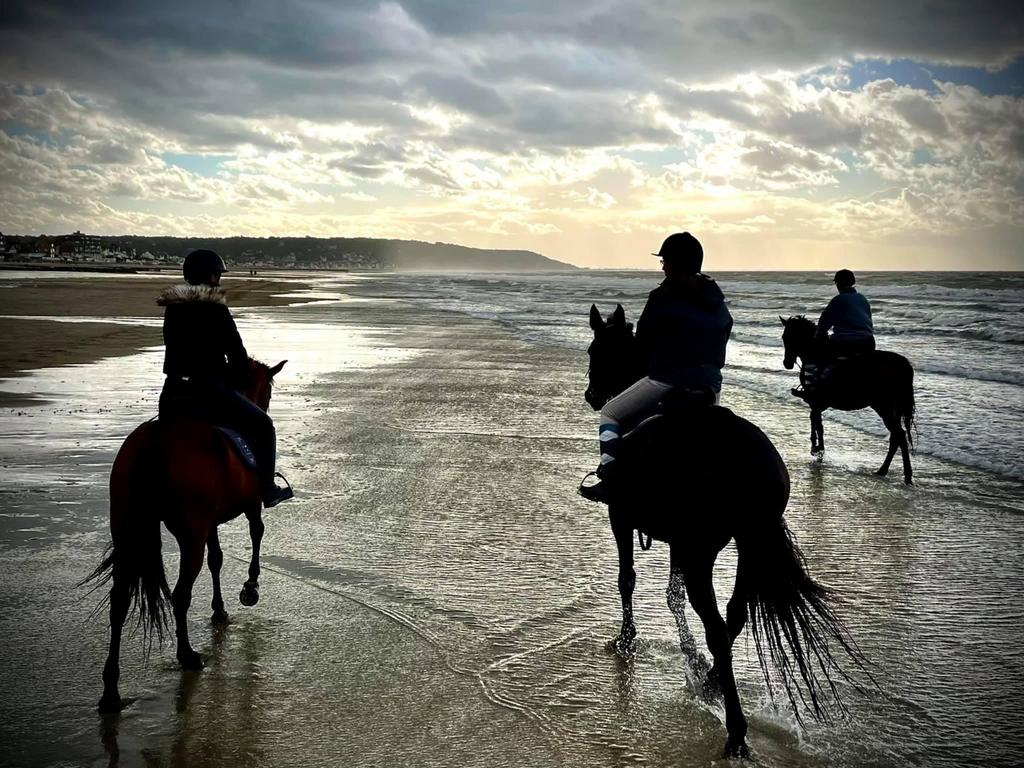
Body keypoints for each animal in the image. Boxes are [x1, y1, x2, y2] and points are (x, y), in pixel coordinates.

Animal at [87, 357, 286, 713]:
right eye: (267, 392)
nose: (264, 406)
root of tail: (154, 443)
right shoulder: (249, 506)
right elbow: (256, 534)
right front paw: (250, 588)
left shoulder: (211, 523)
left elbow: (217, 559)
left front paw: (220, 610)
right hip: (190, 535)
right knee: (180, 594)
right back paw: (187, 656)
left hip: (128, 529)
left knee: (119, 602)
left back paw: (111, 692)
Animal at [585, 304, 865, 759]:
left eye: (597, 350)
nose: (593, 395)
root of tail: (744, 458)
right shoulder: (679, 541)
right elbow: (673, 595)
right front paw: (692, 659)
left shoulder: (622, 517)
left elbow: (628, 578)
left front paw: (627, 639)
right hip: (748, 546)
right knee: (734, 616)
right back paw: (713, 681)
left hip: (703, 551)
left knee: (717, 626)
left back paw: (734, 729)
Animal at [780, 315, 915, 484]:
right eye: (784, 337)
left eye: (791, 337)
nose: (787, 363)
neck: (816, 354)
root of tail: (902, 365)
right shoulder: (817, 403)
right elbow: (816, 422)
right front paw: (817, 449)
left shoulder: (815, 401)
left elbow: (817, 424)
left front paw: (817, 450)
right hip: (890, 408)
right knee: (896, 437)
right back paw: (884, 471)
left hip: (883, 406)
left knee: (899, 435)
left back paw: (904, 475)